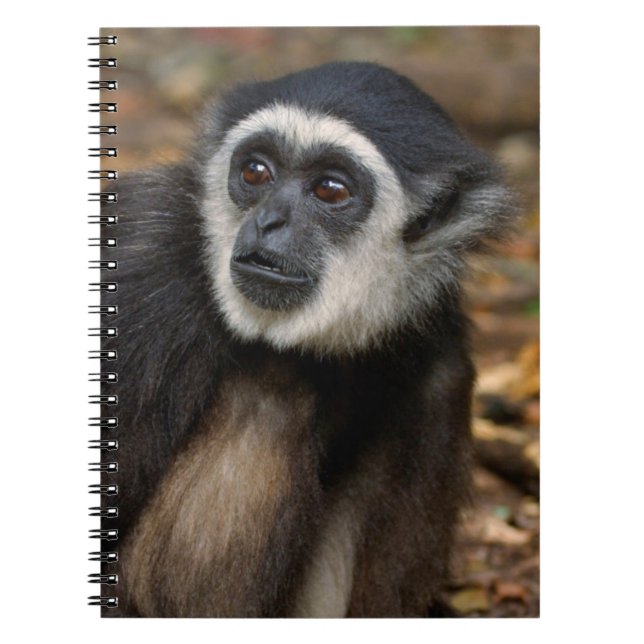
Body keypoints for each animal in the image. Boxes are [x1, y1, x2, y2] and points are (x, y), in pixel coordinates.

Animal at [98, 62, 515, 617]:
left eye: (330, 190)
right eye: (256, 172)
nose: (269, 221)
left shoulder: (429, 313)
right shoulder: (142, 263)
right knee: (269, 390)